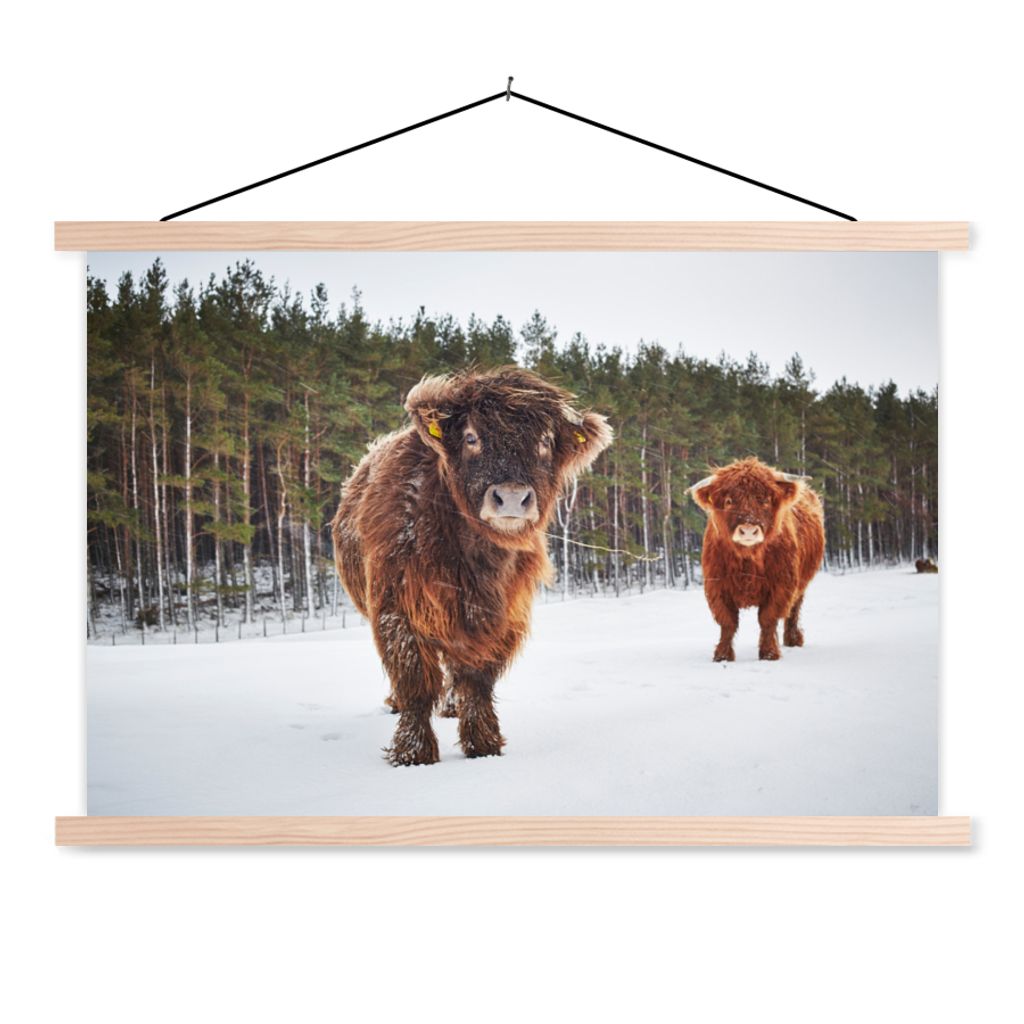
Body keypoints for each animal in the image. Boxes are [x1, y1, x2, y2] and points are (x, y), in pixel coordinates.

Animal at [332, 366, 613, 766]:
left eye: (545, 441)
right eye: (470, 437)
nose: (511, 496)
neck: (475, 559)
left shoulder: (498, 616)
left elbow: (477, 680)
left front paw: (483, 744)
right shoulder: (395, 609)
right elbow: (414, 678)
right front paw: (413, 752)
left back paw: (451, 707)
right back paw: (396, 703)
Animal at [690, 457, 825, 662]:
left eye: (765, 500)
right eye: (729, 501)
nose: (748, 530)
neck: (748, 559)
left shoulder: (781, 585)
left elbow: (767, 619)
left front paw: (769, 653)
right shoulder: (717, 586)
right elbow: (727, 622)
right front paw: (722, 655)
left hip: (801, 582)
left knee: (794, 609)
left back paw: (793, 639)